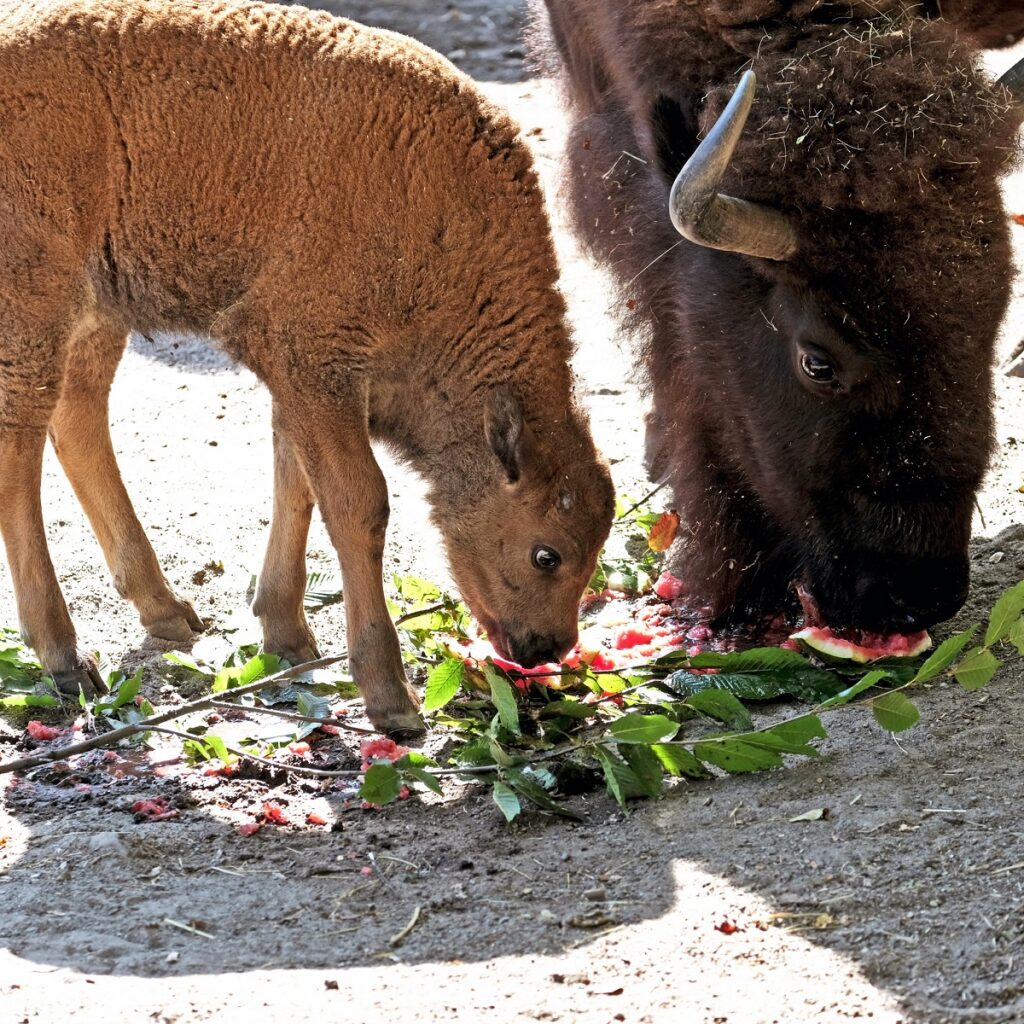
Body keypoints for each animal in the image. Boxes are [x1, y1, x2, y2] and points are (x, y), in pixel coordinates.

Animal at [0, 0, 610, 737]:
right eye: (546, 553)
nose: (546, 647)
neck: (444, 217)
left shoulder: (305, 377)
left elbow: (297, 483)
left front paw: (286, 635)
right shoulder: (312, 358)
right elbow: (359, 502)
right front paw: (391, 698)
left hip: (98, 309)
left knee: (77, 419)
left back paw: (167, 611)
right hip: (36, 302)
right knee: (18, 449)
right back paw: (65, 657)